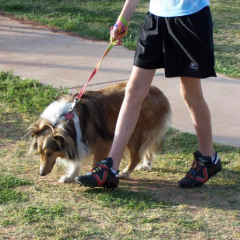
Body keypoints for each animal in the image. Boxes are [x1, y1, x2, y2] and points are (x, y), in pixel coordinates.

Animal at [26, 81, 171, 183]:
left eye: (49, 153)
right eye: (39, 153)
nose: (41, 173)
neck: (63, 122)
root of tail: (159, 93)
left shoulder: (102, 145)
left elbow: (95, 162)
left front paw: (94, 176)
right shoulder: (77, 142)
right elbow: (76, 162)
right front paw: (70, 176)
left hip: (134, 134)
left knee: (136, 156)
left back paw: (125, 172)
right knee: (147, 150)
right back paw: (146, 165)